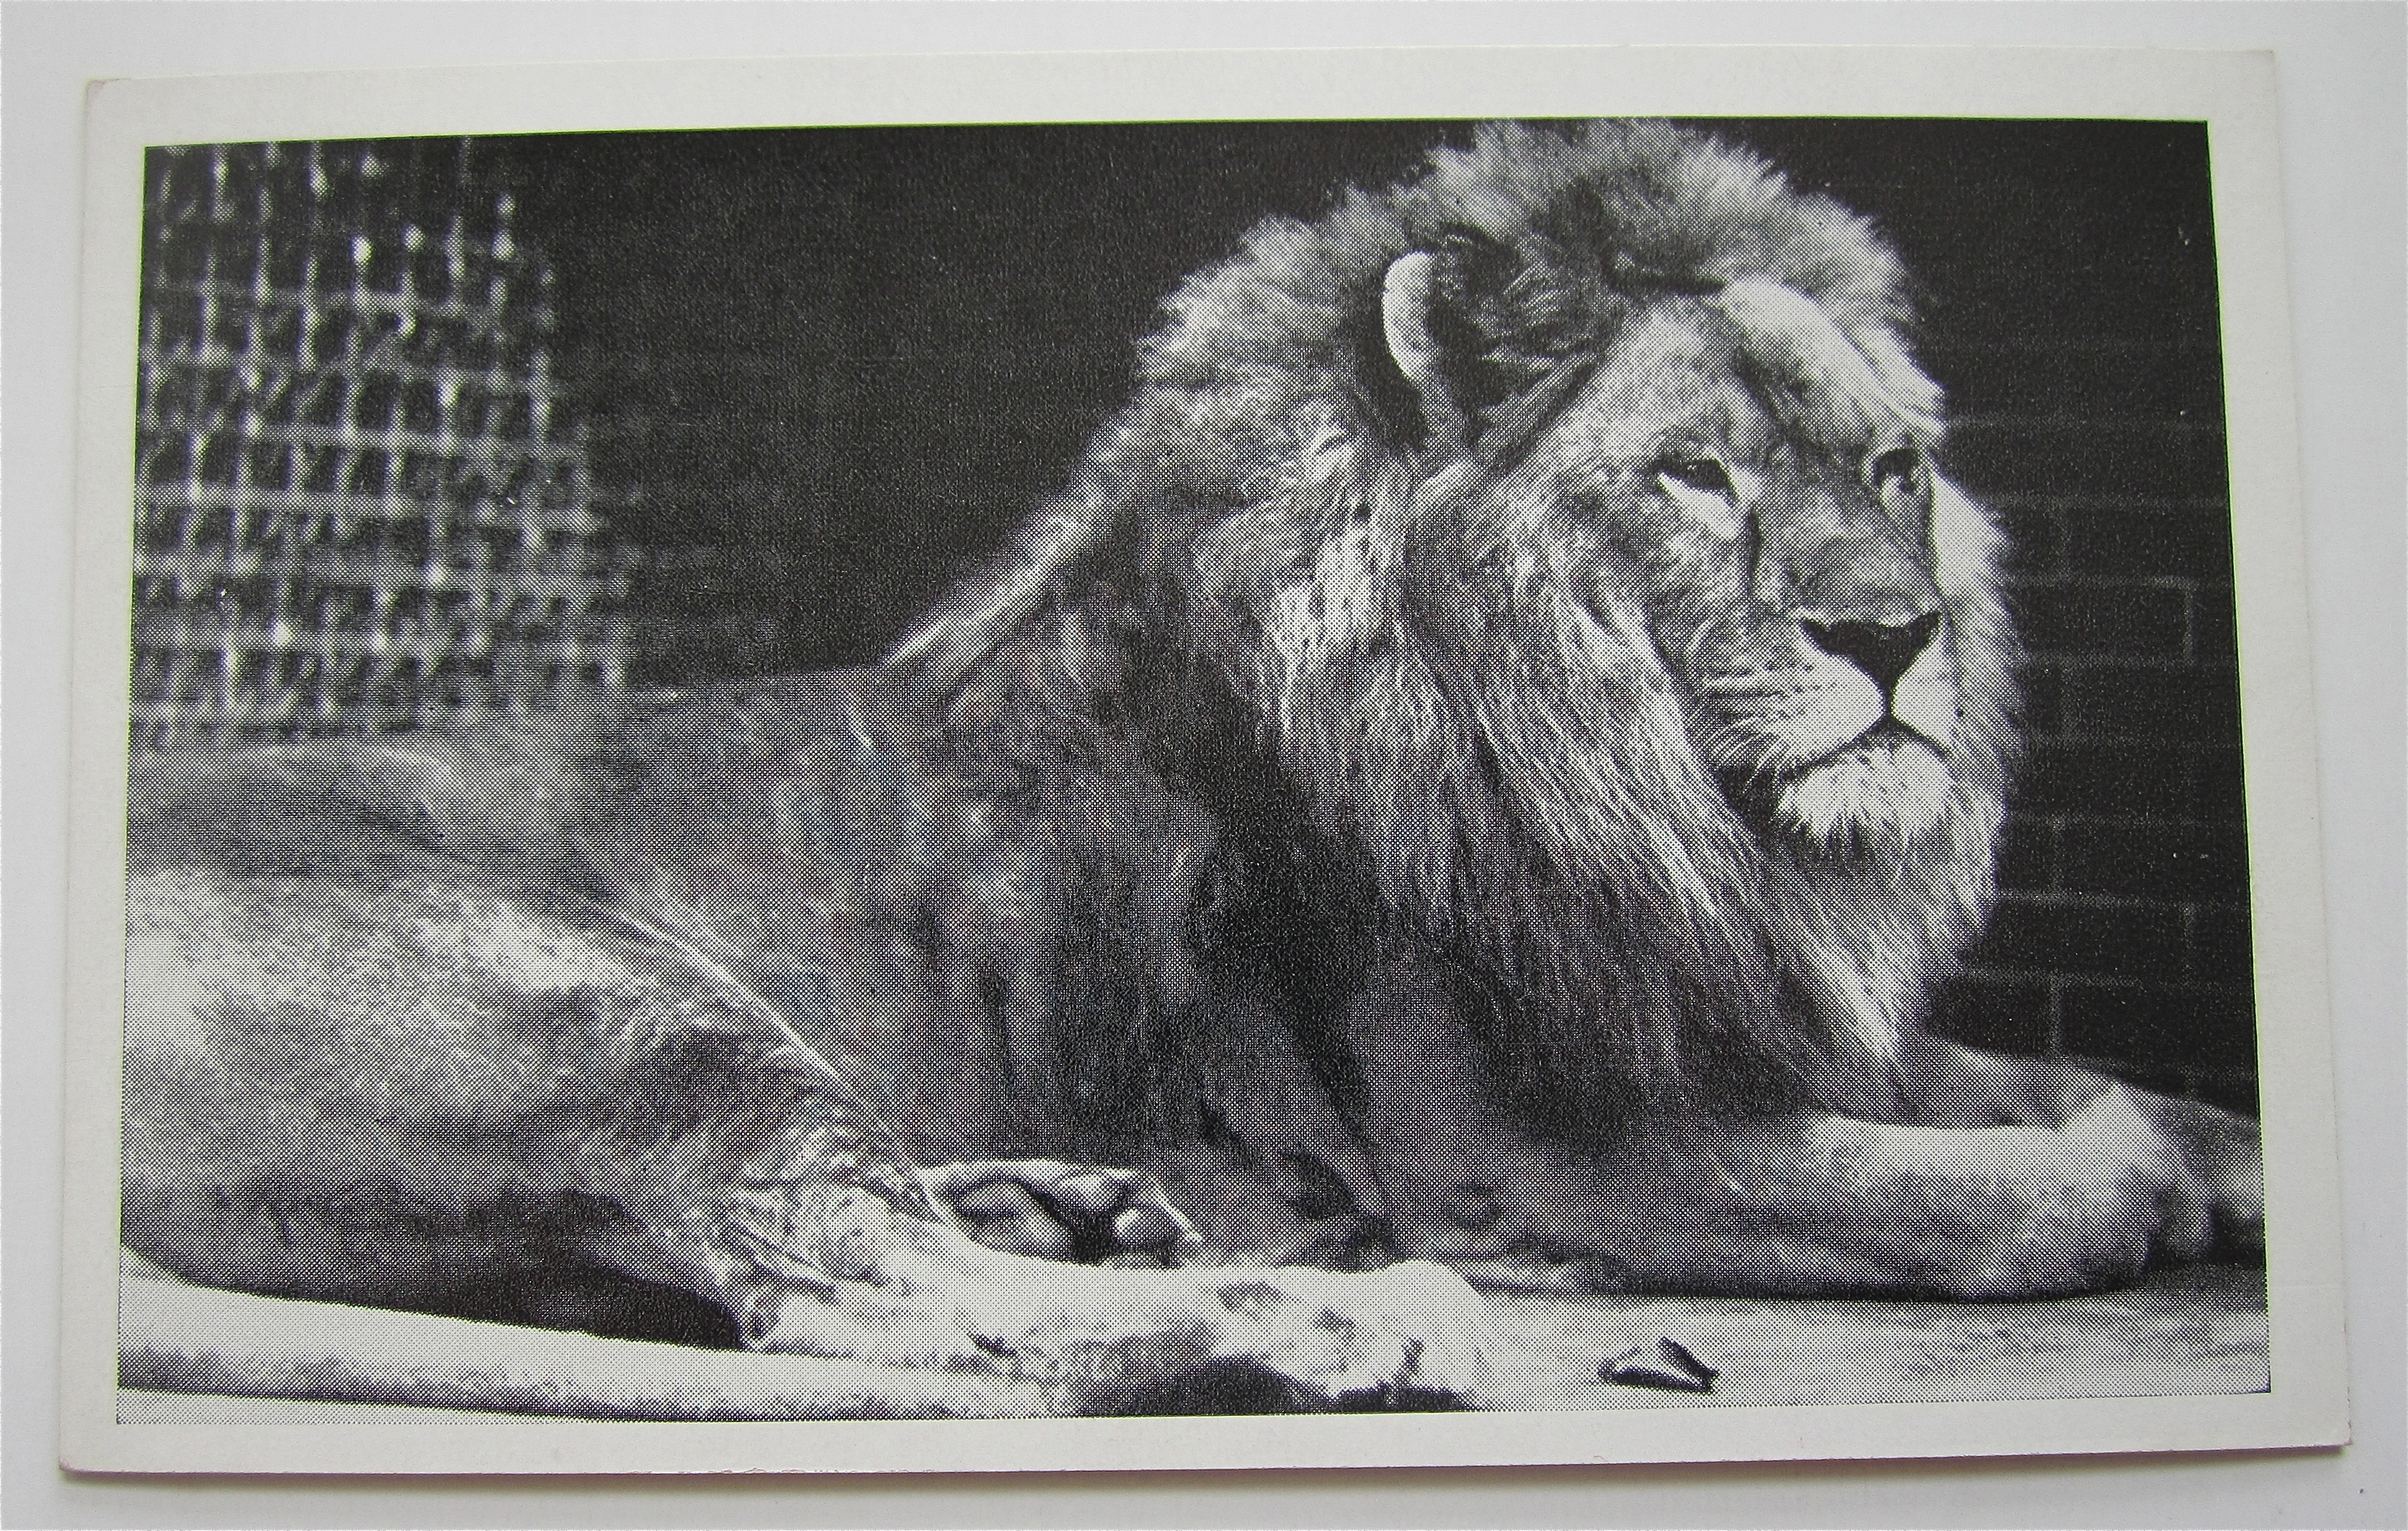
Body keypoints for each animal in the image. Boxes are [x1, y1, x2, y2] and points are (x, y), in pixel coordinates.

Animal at [119, 120, 2261, 1420]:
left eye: (1894, 468)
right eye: (1693, 472)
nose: (1897, 634)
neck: (1668, 806)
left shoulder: (1721, 1012)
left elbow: (2063, 1093)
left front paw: (2212, 1143)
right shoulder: (1527, 1152)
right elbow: (2001, 1195)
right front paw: (2135, 1180)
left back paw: (1071, 1202)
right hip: (610, 1001)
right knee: (849, 1280)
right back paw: (1341, 1318)